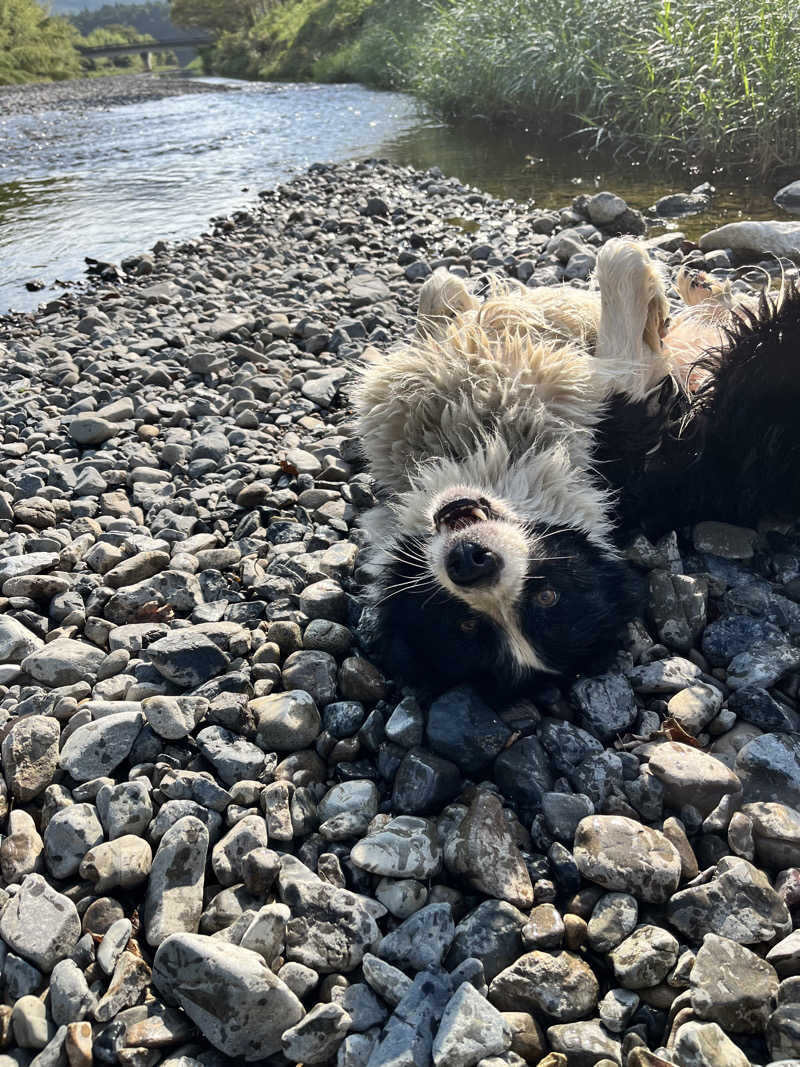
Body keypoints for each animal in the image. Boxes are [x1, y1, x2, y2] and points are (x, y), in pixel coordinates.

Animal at [354, 237, 800, 695]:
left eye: (547, 596)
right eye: (466, 626)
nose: (470, 562)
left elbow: (439, 294)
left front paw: (457, 302)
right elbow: (616, 271)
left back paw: (700, 284)